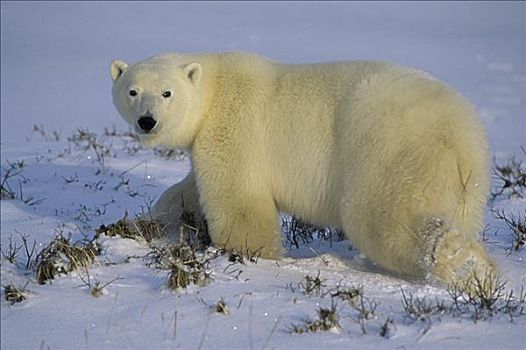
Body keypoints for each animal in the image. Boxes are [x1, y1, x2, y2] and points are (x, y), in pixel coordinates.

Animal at [110, 52, 496, 288]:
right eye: (132, 91)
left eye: (167, 93)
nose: (147, 121)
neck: (213, 86)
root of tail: (459, 132)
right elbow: (187, 193)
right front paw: (144, 224)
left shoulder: (235, 127)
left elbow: (239, 199)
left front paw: (247, 255)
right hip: (467, 185)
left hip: (387, 152)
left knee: (384, 219)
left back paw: (462, 264)